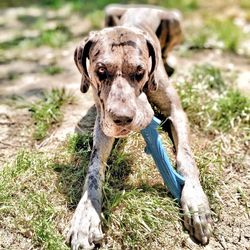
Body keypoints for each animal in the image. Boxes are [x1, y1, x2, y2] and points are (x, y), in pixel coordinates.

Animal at [67, 4, 212, 250]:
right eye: (101, 71)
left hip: (174, 20)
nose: (122, 118)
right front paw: (86, 216)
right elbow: (94, 167)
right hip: (110, 11)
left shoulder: (176, 112)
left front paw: (195, 201)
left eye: (140, 71)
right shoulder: (103, 122)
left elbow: (186, 158)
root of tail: (143, 5)